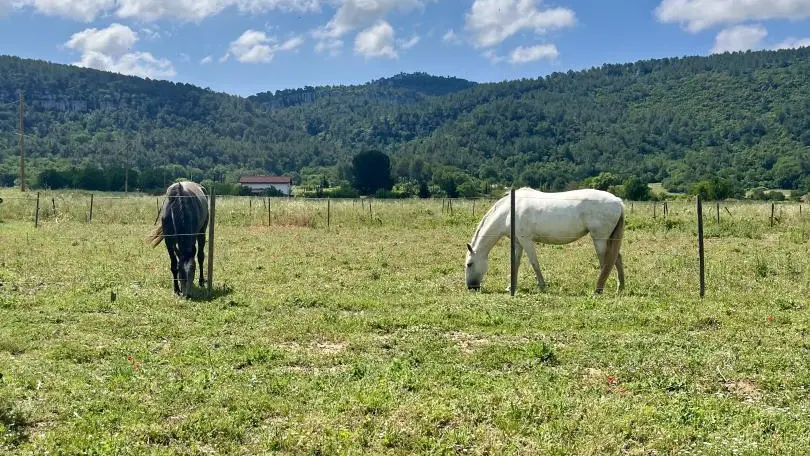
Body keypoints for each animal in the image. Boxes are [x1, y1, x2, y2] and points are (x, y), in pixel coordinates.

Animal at [460, 187, 624, 294]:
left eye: (469, 264)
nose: (471, 287)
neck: (508, 212)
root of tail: (618, 201)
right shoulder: (518, 242)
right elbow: (515, 263)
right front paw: (511, 287)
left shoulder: (526, 240)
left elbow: (534, 263)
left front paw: (542, 285)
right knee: (616, 259)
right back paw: (620, 287)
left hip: (600, 239)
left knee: (606, 263)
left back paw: (599, 289)